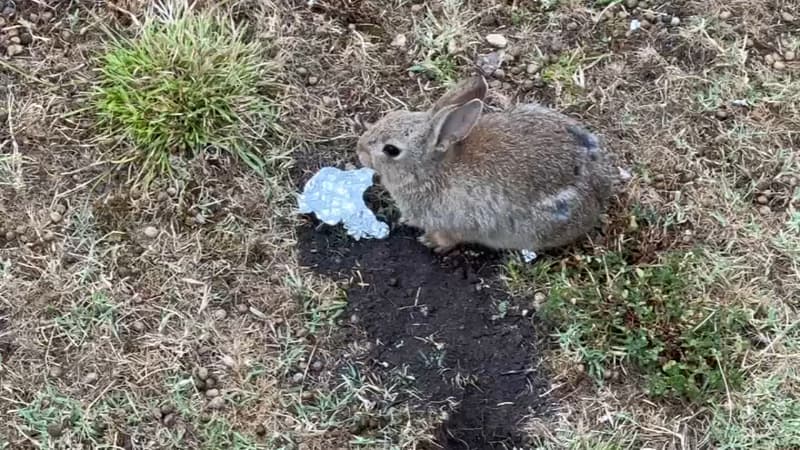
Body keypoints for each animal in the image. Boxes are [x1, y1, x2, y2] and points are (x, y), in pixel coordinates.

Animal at [358, 75, 624, 255]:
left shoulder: (454, 224)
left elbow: (448, 239)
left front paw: (430, 242)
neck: (431, 170)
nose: (360, 150)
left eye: (391, 150)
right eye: (392, 115)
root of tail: (600, 189)